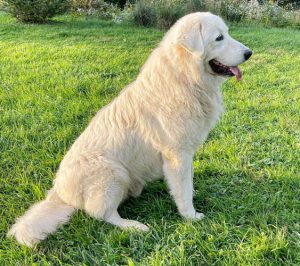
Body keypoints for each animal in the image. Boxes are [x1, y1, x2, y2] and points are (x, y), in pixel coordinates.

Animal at [7, 11, 251, 245]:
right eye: (219, 38)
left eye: (227, 33)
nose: (249, 53)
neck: (185, 79)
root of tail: (59, 194)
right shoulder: (177, 155)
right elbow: (182, 190)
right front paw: (190, 215)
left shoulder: (187, 153)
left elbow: (187, 183)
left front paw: (192, 194)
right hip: (114, 172)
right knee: (102, 214)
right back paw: (134, 226)